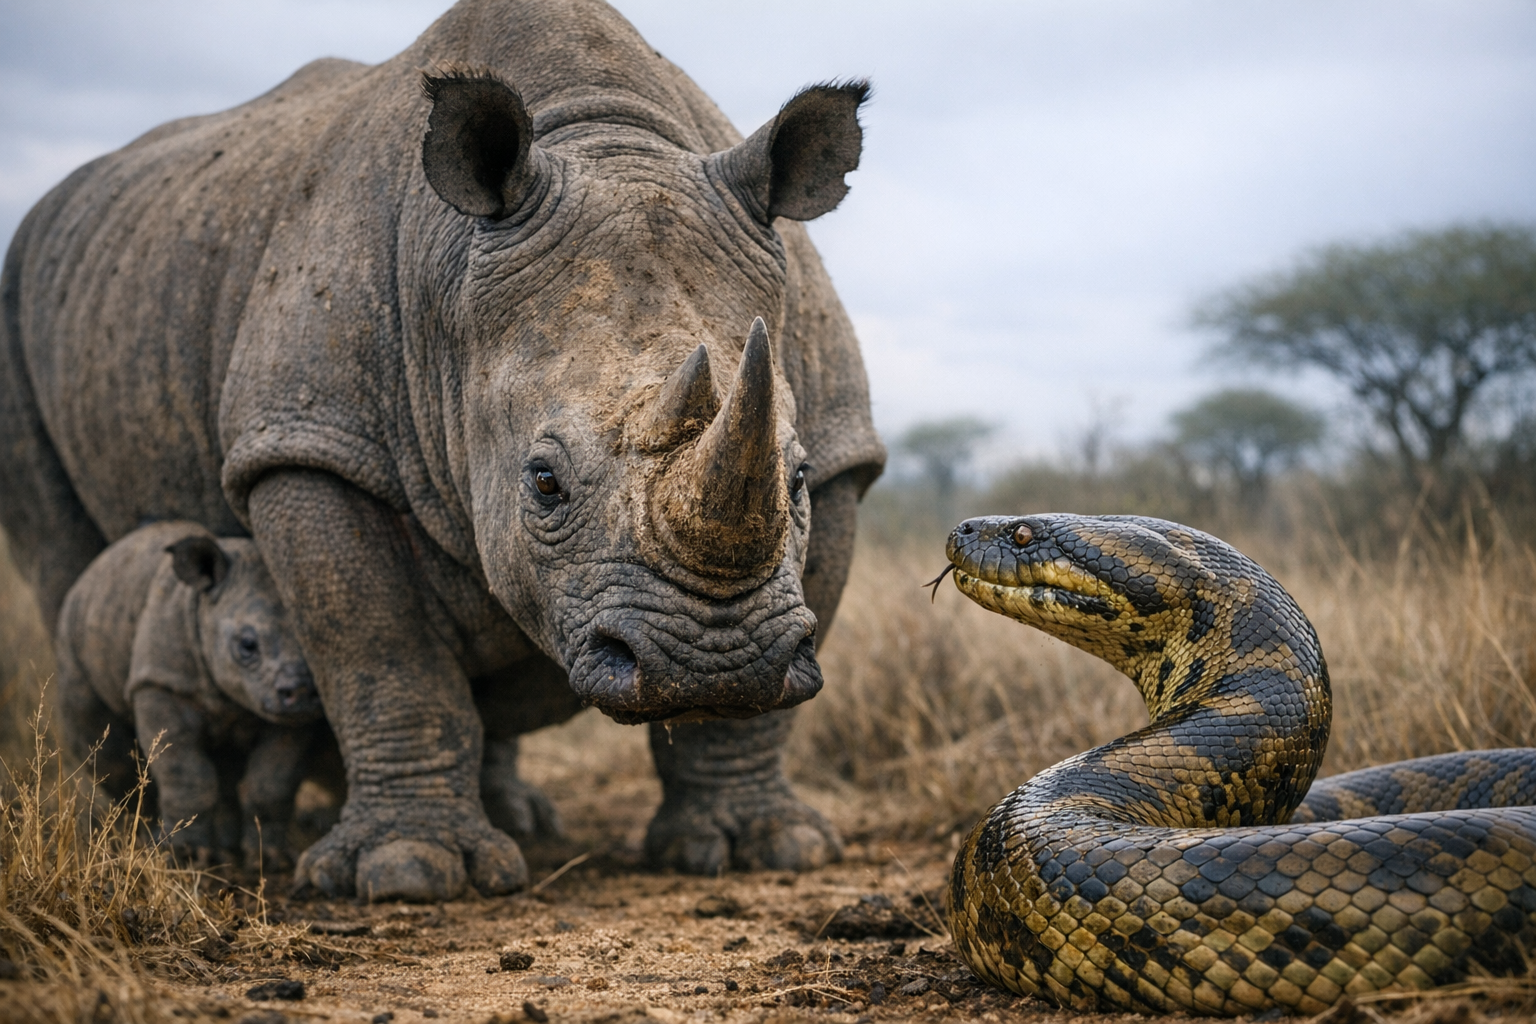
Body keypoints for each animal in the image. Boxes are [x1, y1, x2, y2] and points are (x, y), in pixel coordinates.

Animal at [0, 0, 883, 900]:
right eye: (544, 482)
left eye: (798, 477)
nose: (709, 665)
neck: (605, 134)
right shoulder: (309, 439)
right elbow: (378, 649)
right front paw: (408, 873)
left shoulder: (844, 446)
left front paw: (765, 846)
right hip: (24, 302)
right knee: (67, 564)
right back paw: (141, 833)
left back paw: (522, 818)